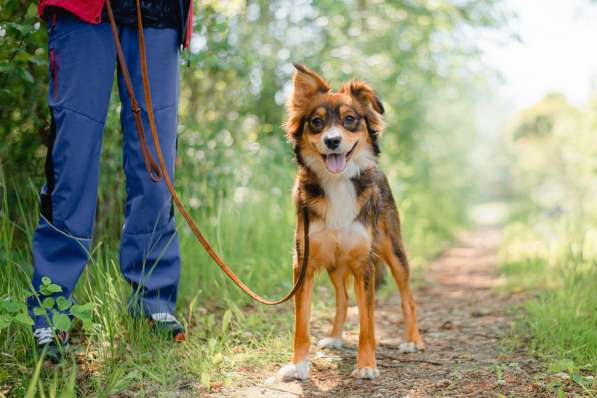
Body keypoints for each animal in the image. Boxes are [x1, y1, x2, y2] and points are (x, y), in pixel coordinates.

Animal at [278, 63, 426, 380]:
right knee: (343, 299)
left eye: (350, 120)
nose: (332, 141)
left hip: (394, 252)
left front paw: (367, 365)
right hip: (335, 263)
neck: (337, 183)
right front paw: (298, 365)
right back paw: (335, 337)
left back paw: (412, 340)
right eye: (316, 122)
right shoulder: (304, 264)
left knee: (407, 297)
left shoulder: (363, 264)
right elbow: (301, 325)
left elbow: (367, 324)